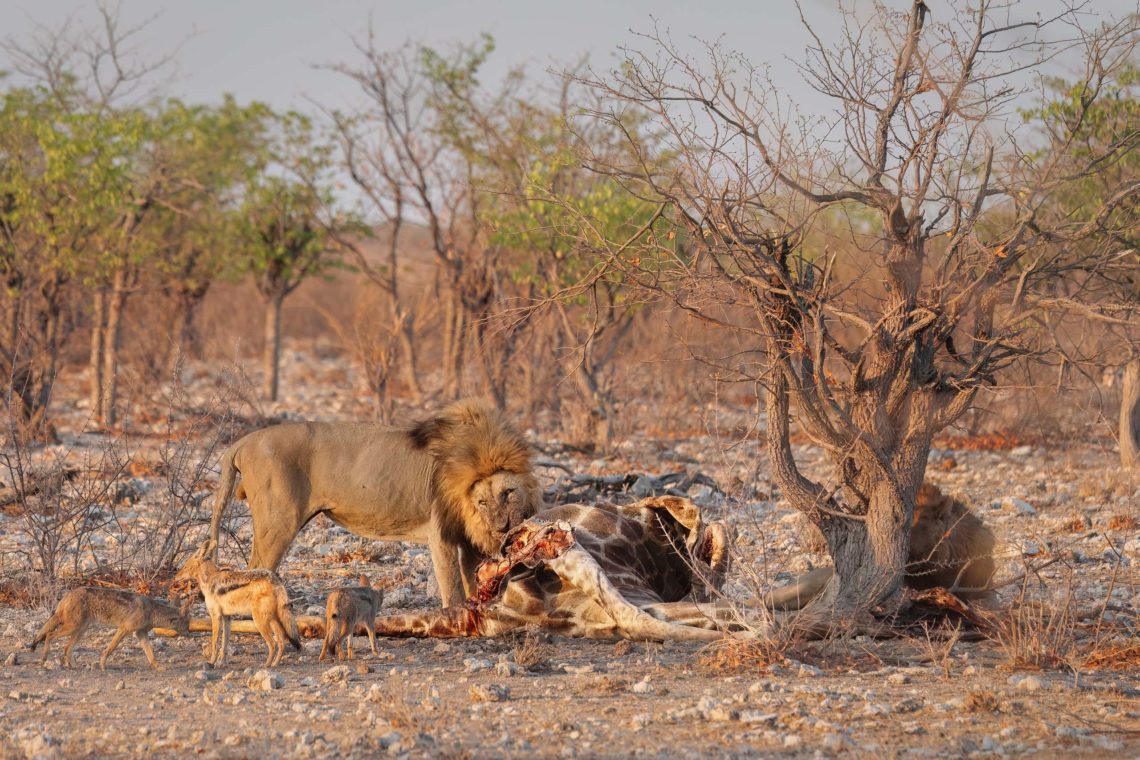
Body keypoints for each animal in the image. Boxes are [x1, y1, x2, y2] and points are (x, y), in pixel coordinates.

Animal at [208, 398, 542, 606]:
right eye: (482, 501)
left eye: (508, 493)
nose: (500, 527)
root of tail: (243, 441)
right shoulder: (441, 533)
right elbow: (452, 587)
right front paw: (458, 620)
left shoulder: (469, 537)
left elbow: (472, 580)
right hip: (277, 524)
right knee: (255, 571)